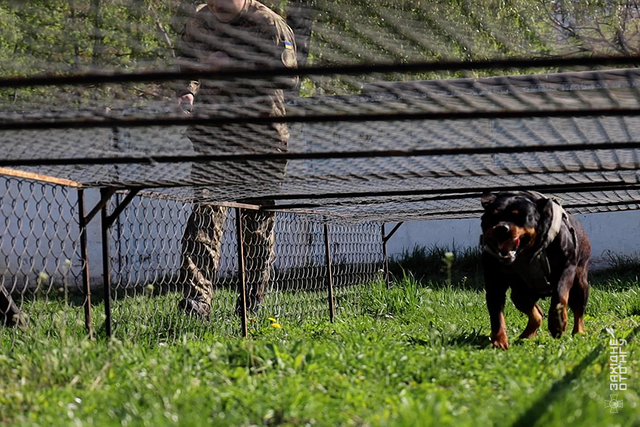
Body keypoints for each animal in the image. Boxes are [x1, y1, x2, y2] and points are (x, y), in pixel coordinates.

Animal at [480, 191, 590, 349]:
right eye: (493, 216)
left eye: (520, 217)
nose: (502, 228)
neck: (528, 253)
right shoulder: (494, 282)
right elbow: (496, 315)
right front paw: (499, 341)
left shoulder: (566, 267)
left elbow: (559, 297)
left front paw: (557, 323)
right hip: (520, 294)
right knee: (536, 314)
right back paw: (526, 335)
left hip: (580, 284)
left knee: (578, 311)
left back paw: (578, 333)